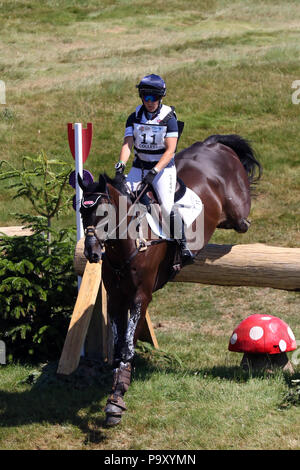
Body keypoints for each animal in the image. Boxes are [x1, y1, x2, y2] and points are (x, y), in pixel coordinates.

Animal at [78, 132, 262, 426]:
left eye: (105, 214)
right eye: (82, 213)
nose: (92, 252)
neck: (129, 244)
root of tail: (214, 144)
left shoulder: (140, 296)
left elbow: (127, 346)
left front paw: (116, 400)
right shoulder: (116, 297)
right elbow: (119, 347)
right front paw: (115, 394)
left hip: (238, 208)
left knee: (242, 221)